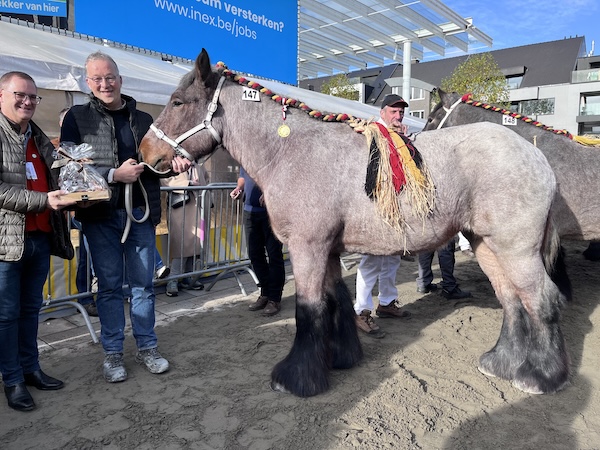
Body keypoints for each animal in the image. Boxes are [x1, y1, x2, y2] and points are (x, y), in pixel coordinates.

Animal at [141, 49, 572, 398]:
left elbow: (308, 309)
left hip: (517, 249)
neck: (291, 150)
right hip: (487, 245)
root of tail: (535, 156)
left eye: (178, 101)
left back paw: (542, 377)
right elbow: (337, 301)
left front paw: (298, 378)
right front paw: (341, 358)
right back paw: (502, 364)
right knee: (512, 300)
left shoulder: (307, 247)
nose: (146, 152)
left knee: (541, 300)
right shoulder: (328, 250)